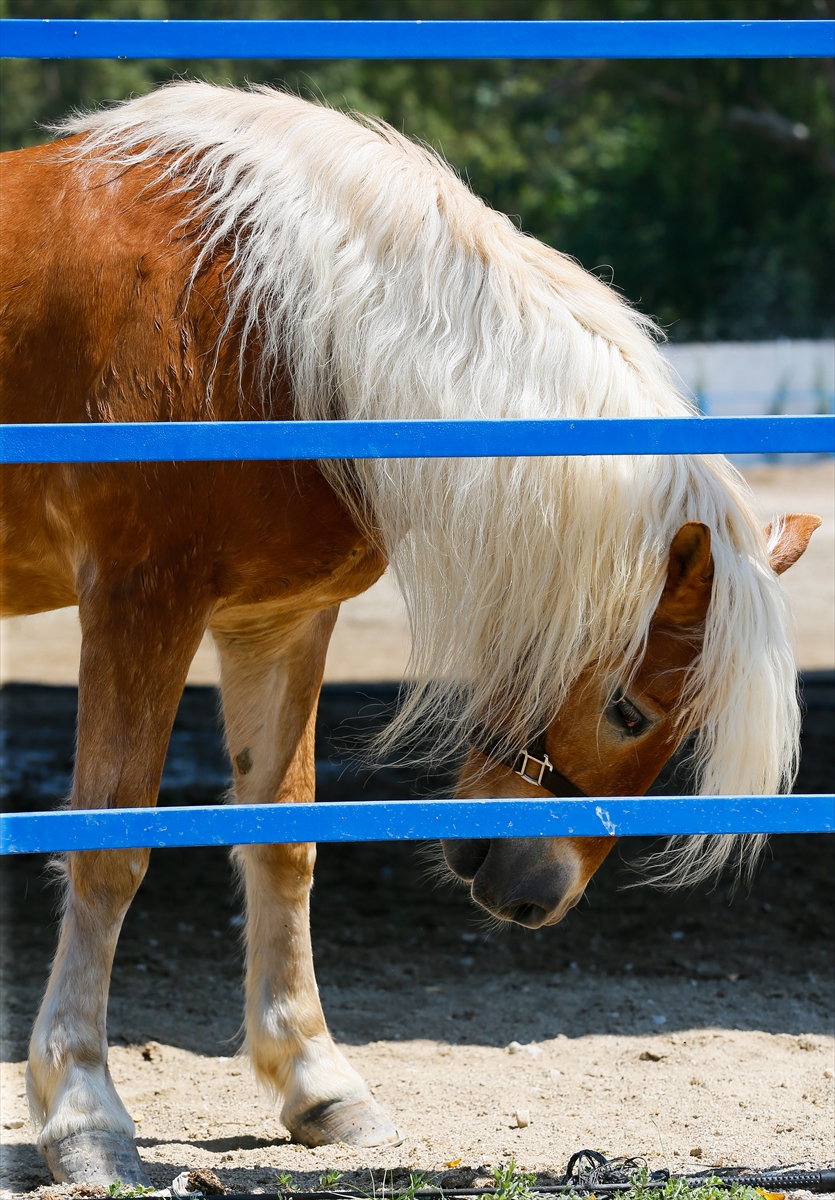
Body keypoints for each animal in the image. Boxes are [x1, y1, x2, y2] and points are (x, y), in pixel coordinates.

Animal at [0, 82, 820, 1180]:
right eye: (627, 711)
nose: (535, 897)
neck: (261, 321)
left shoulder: (279, 620)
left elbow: (284, 842)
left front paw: (317, 1082)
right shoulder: (139, 604)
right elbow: (111, 850)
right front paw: (85, 1116)